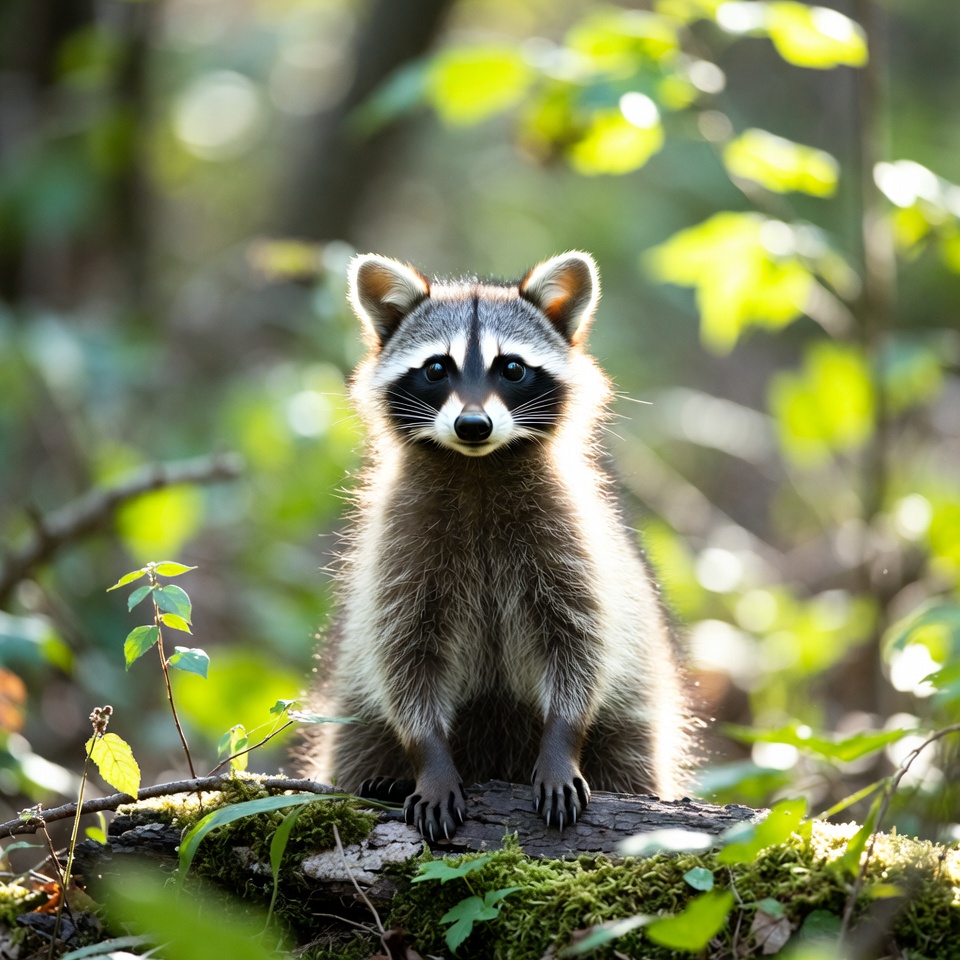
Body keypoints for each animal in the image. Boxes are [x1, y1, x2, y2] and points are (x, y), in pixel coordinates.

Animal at [298, 251, 691, 839]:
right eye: (436, 369)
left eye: (512, 369)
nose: (473, 425)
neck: (477, 469)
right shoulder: (399, 550)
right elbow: (403, 655)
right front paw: (429, 759)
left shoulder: (571, 541)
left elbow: (581, 642)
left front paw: (562, 745)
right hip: (353, 712)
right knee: (358, 738)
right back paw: (386, 779)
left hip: (635, 715)